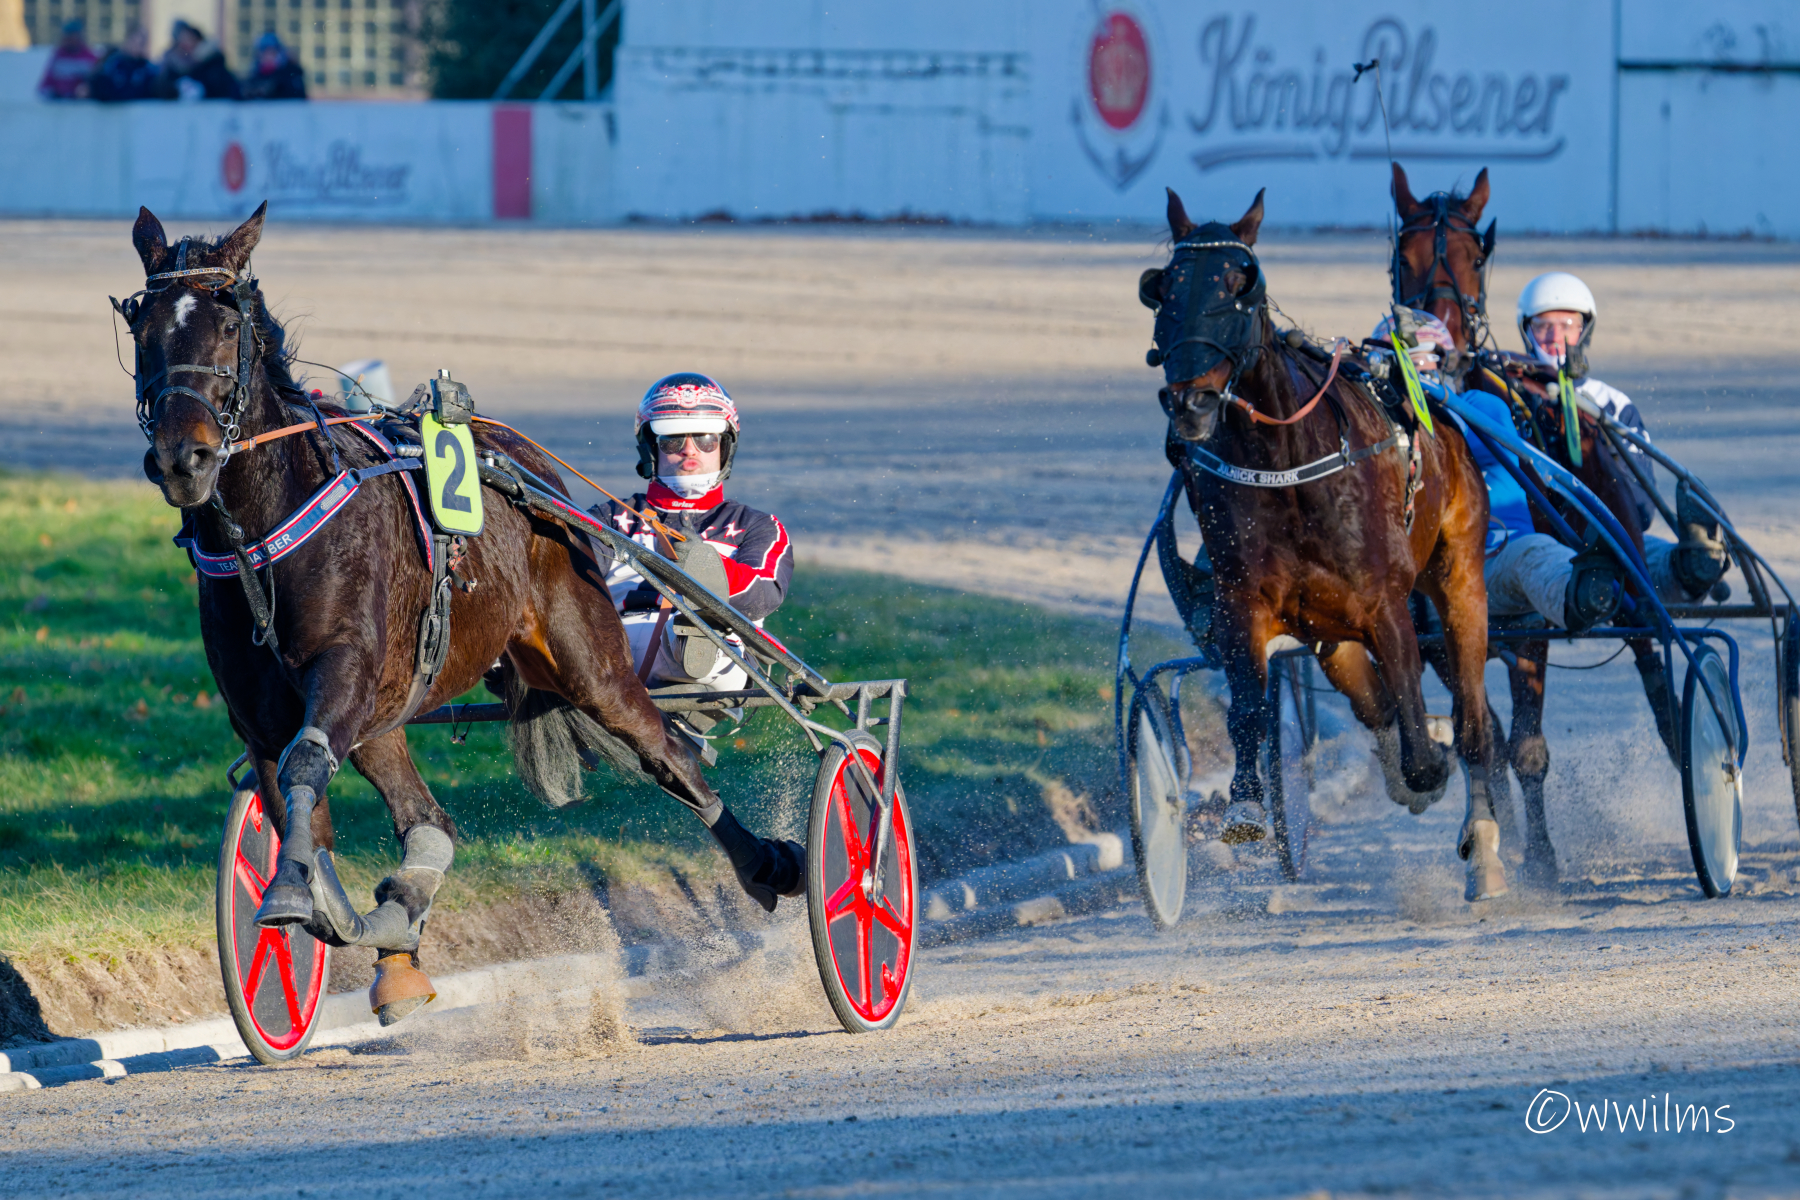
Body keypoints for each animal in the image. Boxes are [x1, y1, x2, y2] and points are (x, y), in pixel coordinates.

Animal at [125, 203, 805, 1023]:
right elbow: (300, 810)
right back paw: (398, 939)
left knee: (669, 753)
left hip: (589, 660)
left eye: (229, 325)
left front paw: (291, 889)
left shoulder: (343, 671)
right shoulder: (262, 715)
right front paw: (342, 909)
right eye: (141, 323)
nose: (182, 458)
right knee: (429, 819)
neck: (265, 537)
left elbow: (307, 766)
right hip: (395, 710)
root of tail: (528, 471)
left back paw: (769, 865)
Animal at [1141, 188, 1507, 901]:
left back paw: (1483, 844)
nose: (1190, 401)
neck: (1285, 461)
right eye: (1162, 288)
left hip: (1459, 578)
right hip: (1328, 632)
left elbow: (1421, 733)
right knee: (1375, 700)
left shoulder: (1386, 602)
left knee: (1476, 715)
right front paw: (1248, 803)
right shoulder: (1244, 603)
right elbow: (1251, 709)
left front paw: (1431, 760)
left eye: (1241, 286)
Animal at [1388, 162, 1677, 889]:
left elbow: (1527, 749)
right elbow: (1482, 738)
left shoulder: (1527, 634)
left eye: (1473, 258)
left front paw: (1542, 860)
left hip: (1625, 564)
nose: (1437, 342)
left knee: (1654, 662)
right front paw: (1499, 842)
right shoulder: (1442, 641)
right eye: (1404, 259)